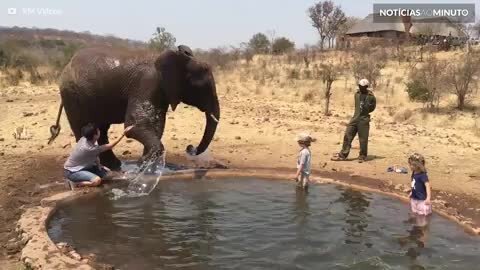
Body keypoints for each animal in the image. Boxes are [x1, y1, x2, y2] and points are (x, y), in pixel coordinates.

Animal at [47, 45, 220, 170]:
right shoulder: (147, 83)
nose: (190, 147)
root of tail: (67, 65)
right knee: (84, 129)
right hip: (72, 95)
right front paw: (143, 164)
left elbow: (157, 126)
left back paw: (115, 167)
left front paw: (145, 165)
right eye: (203, 88)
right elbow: (136, 125)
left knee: (101, 130)